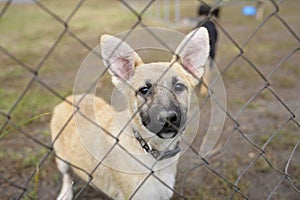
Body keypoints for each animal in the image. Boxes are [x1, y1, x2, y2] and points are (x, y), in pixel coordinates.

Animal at [49, 27, 209, 200]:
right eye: (144, 90)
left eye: (179, 87)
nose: (167, 118)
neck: (153, 151)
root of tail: (69, 98)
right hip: (61, 158)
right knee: (66, 175)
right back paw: (65, 193)